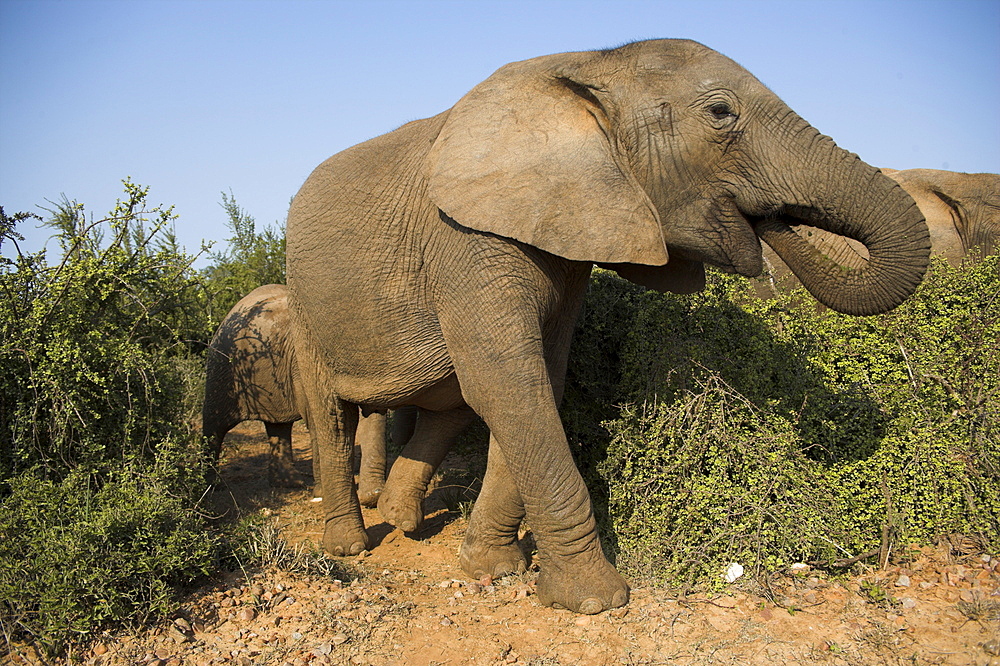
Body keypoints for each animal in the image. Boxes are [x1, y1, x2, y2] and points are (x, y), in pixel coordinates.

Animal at [202, 282, 386, 504]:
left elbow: (373, 411)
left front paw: (373, 496)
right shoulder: (303, 359)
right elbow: (320, 416)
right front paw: (323, 494)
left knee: (278, 426)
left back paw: (290, 484)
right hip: (222, 367)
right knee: (215, 425)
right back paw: (212, 486)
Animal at [286, 40, 932, 612]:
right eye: (720, 113)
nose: (771, 221)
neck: (583, 65)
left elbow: (539, 380)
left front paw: (492, 568)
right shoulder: (464, 237)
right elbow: (508, 385)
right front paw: (595, 601)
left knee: (448, 404)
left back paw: (401, 521)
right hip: (302, 303)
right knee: (333, 416)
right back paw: (351, 545)